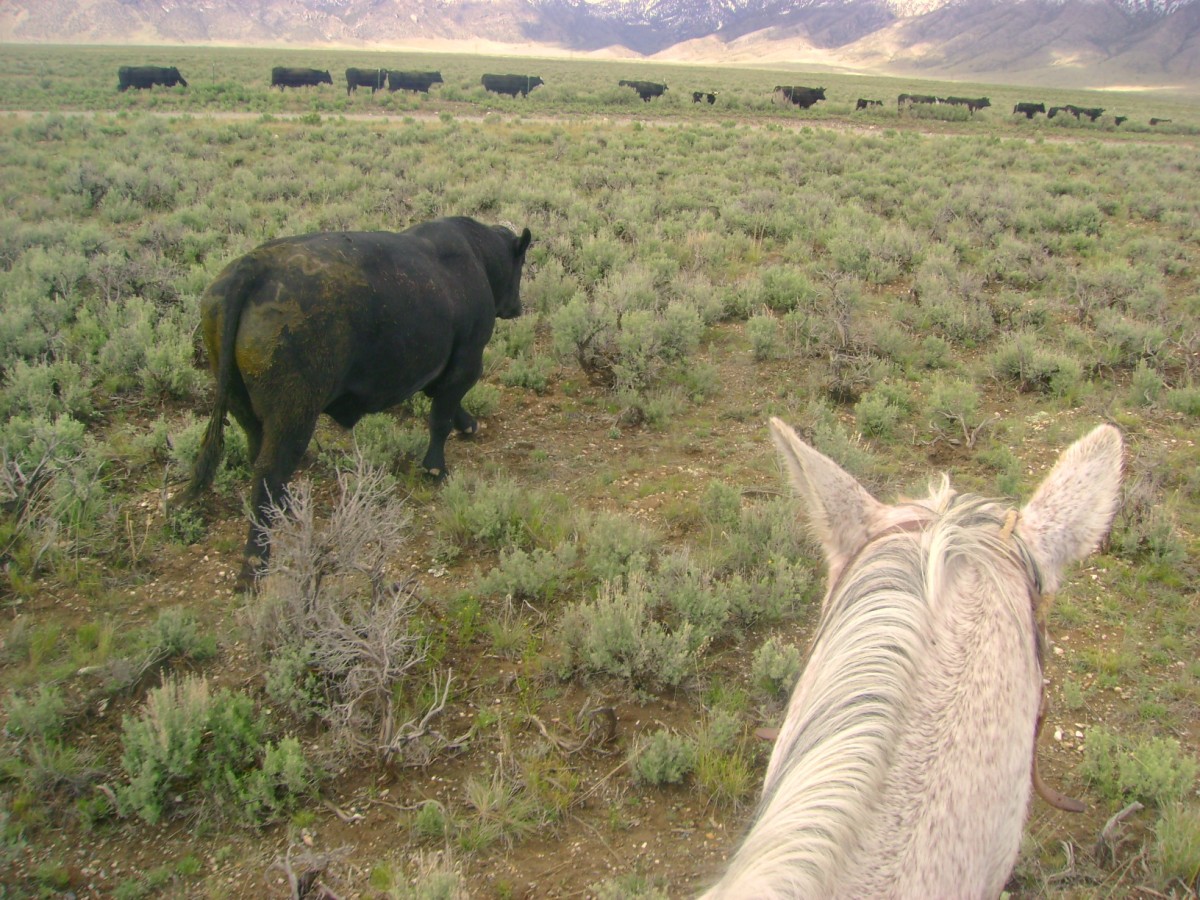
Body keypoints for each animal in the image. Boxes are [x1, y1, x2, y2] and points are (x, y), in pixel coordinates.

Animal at [184, 219, 532, 585]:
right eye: (521, 261)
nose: (517, 306)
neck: (475, 255)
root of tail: (253, 267)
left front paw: (468, 425)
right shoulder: (466, 363)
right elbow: (440, 418)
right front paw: (436, 467)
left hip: (246, 411)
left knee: (260, 464)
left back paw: (288, 511)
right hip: (294, 417)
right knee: (269, 473)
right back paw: (256, 563)